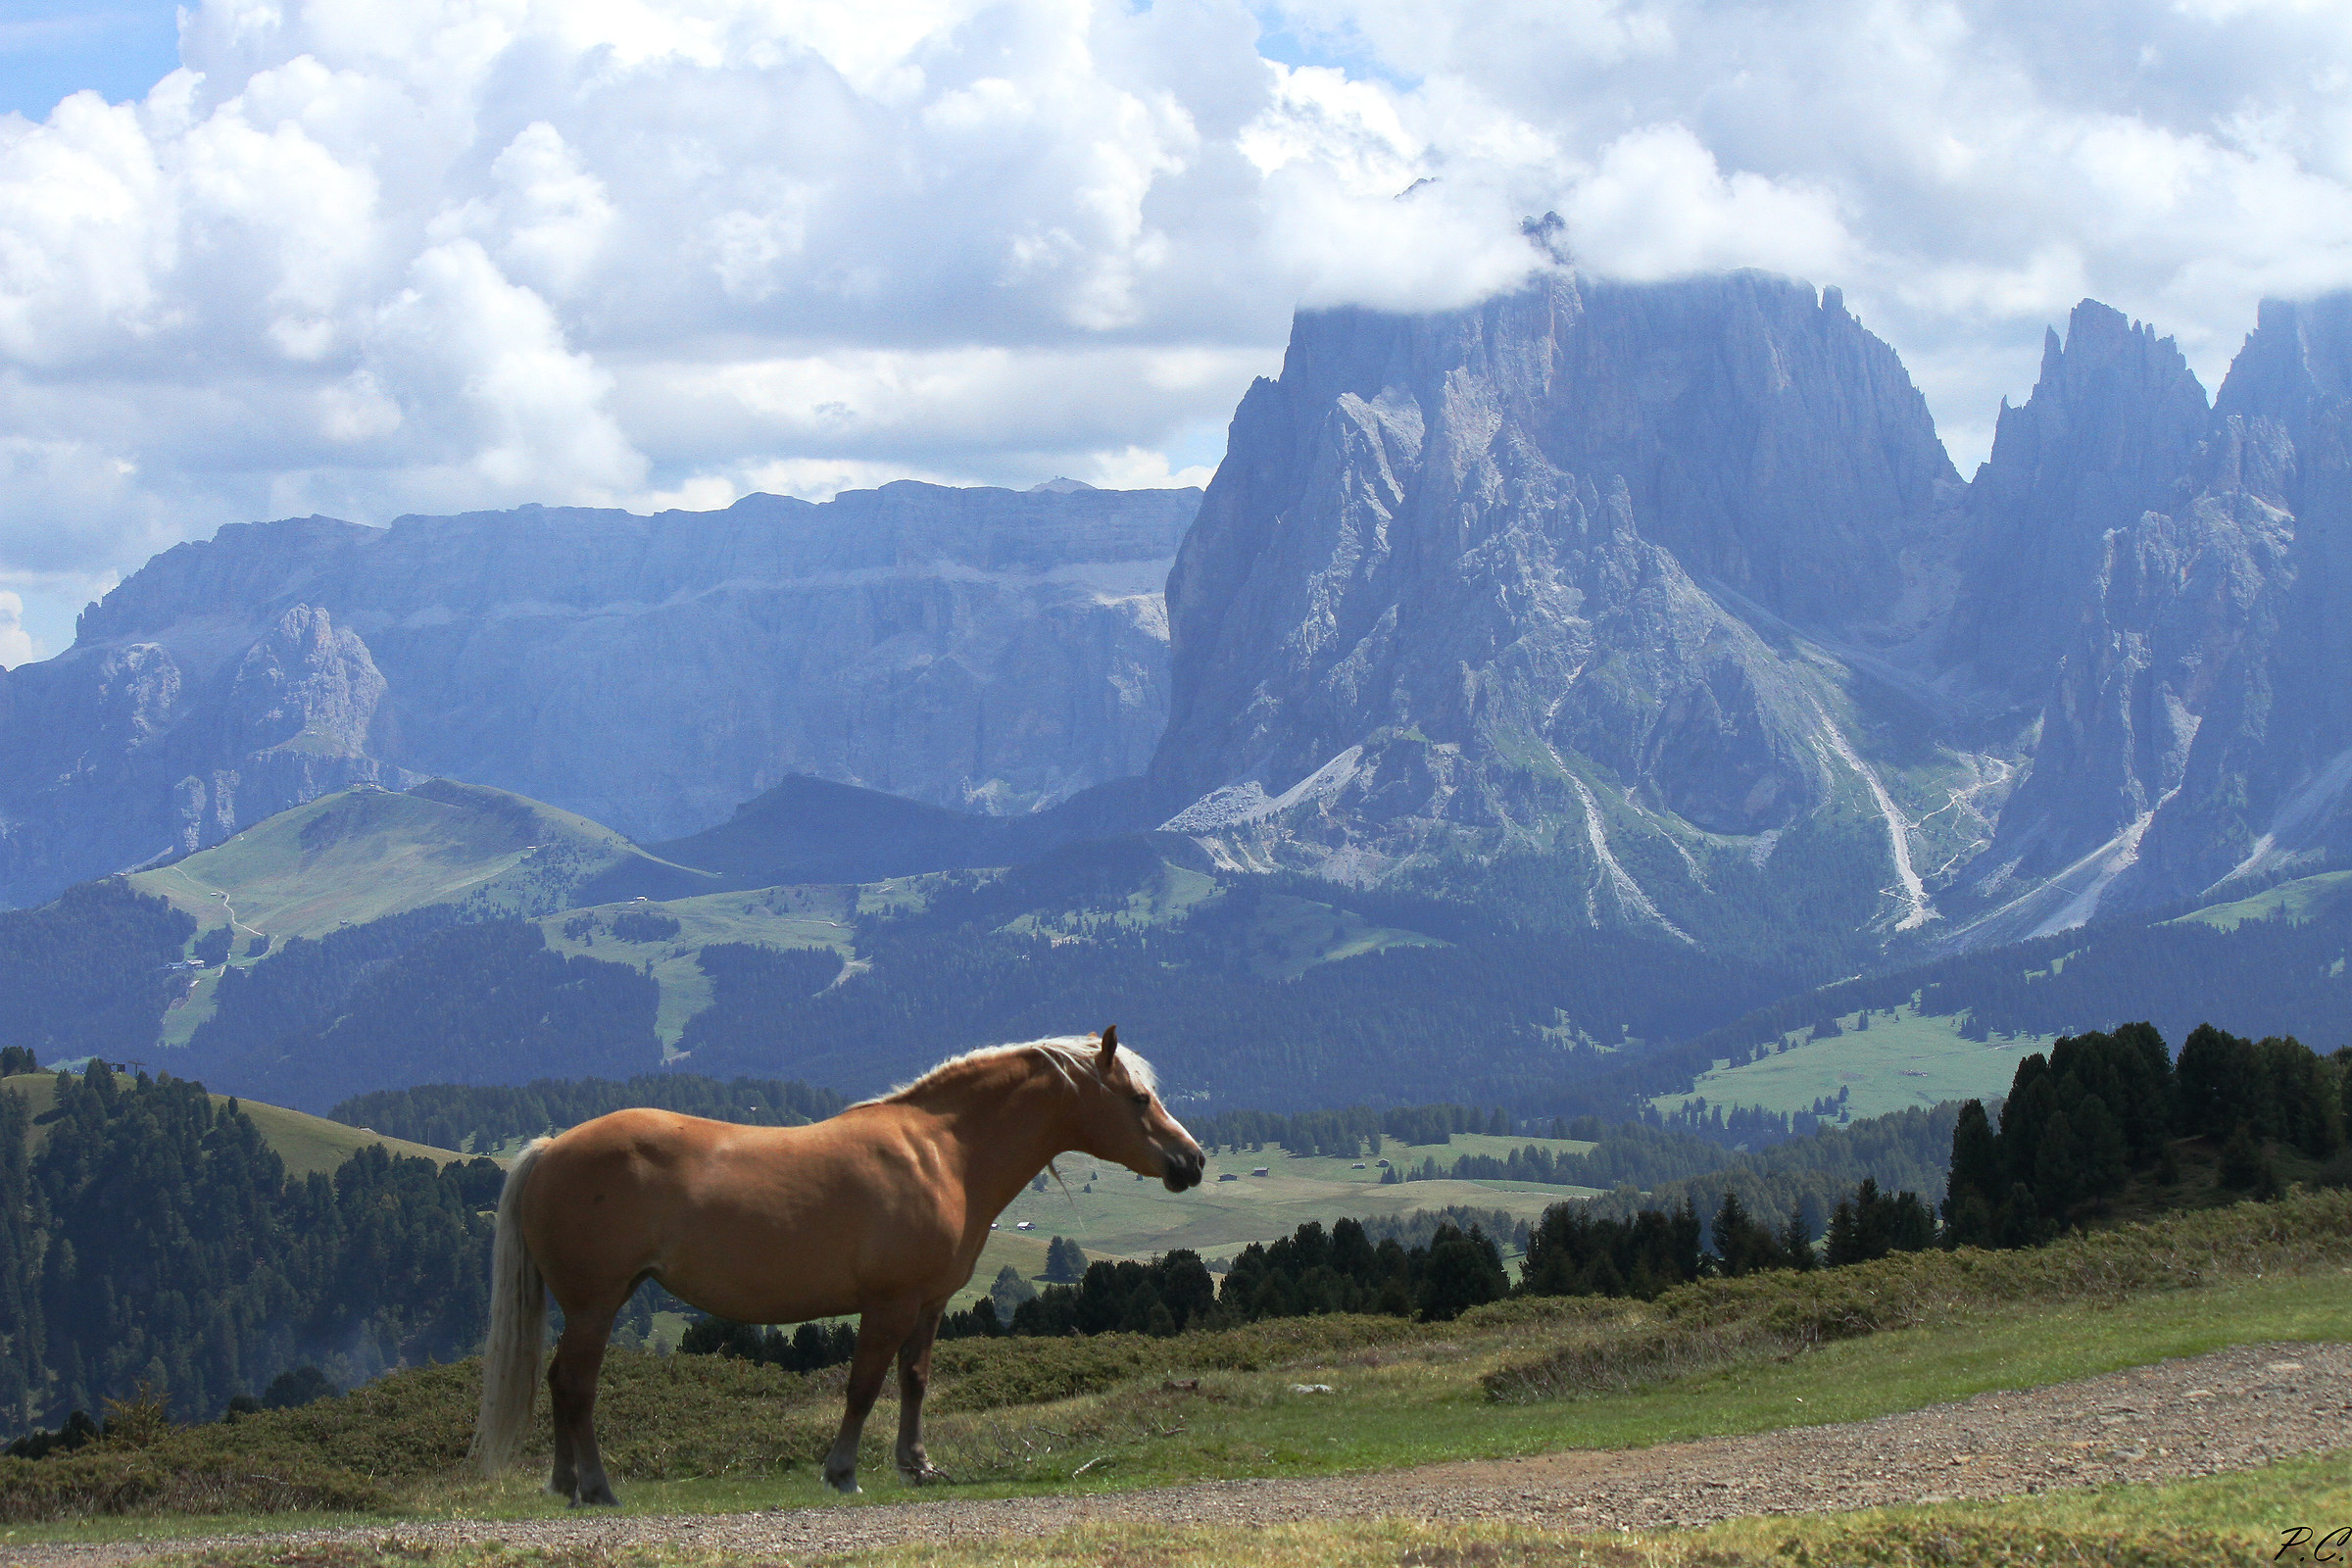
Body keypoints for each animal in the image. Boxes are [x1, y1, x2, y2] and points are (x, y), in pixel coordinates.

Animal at [470, 1026, 1205, 1503]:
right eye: (1139, 1099)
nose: (1191, 1161)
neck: (944, 1151)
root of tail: (551, 1148)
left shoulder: (928, 1303)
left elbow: (914, 1380)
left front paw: (917, 1465)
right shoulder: (887, 1303)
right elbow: (862, 1386)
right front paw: (843, 1471)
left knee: (558, 1381)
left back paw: (565, 1483)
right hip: (596, 1303)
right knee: (575, 1385)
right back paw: (596, 1487)